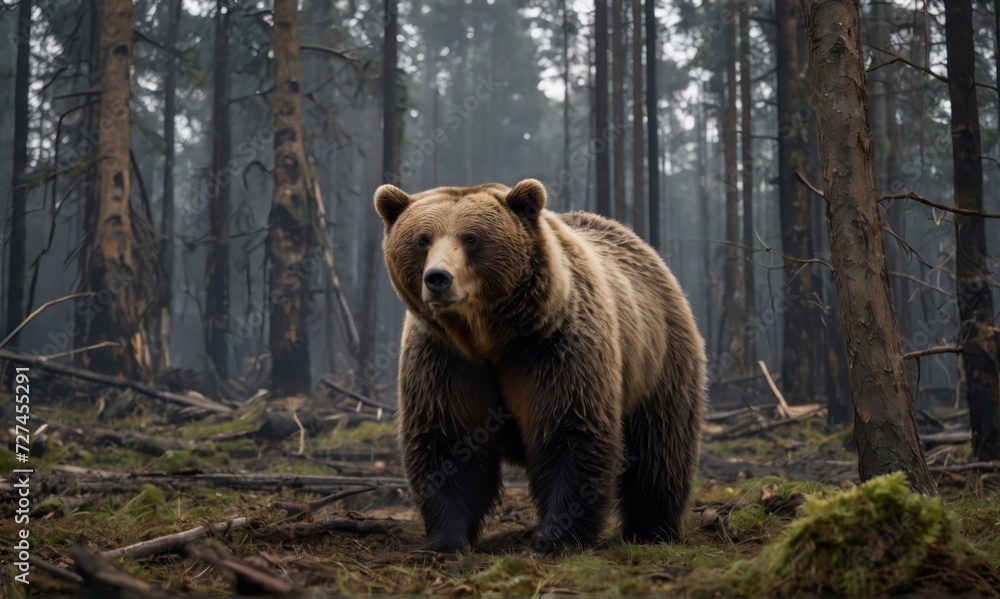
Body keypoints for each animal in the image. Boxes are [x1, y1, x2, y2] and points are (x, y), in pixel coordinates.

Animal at [374, 179, 705, 553]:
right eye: (422, 240)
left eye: (471, 238)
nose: (438, 278)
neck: (488, 337)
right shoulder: (445, 360)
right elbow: (448, 442)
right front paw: (447, 539)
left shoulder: (553, 349)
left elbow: (569, 431)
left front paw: (555, 536)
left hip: (658, 359)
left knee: (660, 447)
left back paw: (653, 529)